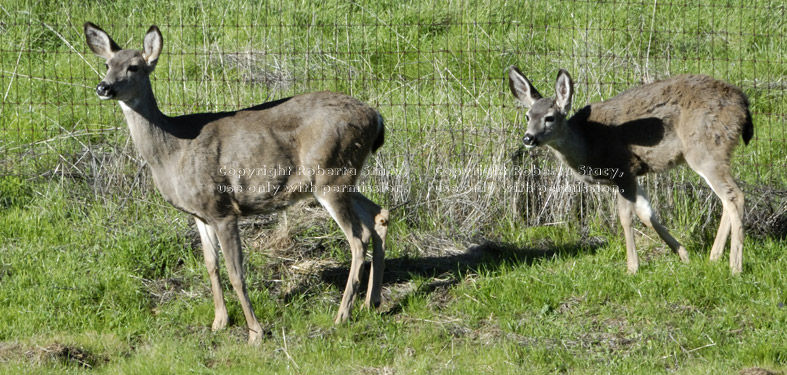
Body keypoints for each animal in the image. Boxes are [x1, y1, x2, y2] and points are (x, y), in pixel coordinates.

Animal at [84, 22, 390, 342]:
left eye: (133, 67)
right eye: (107, 64)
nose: (103, 87)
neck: (174, 150)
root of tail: (376, 117)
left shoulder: (222, 209)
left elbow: (236, 273)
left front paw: (255, 332)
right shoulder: (200, 214)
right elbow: (211, 266)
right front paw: (219, 322)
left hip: (330, 175)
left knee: (358, 238)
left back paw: (342, 315)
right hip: (343, 179)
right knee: (380, 214)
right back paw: (372, 302)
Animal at [508, 66, 756, 274]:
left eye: (549, 118)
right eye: (528, 116)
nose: (528, 138)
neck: (588, 143)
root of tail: (743, 103)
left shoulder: (624, 169)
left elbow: (626, 217)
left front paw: (632, 267)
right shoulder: (633, 175)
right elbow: (647, 212)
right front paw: (683, 255)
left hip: (705, 148)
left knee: (734, 195)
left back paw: (735, 267)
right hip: (714, 152)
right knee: (727, 198)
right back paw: (714, 258)